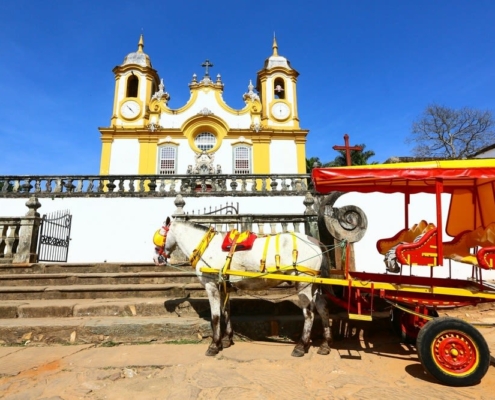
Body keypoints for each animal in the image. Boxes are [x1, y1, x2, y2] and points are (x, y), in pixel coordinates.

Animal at [154, 217, 334, 358]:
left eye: (159, 237)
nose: (156, 259)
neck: (207, 246)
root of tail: (315, 241)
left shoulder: (211, 284)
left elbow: (215, 316)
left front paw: (214, 345)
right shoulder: (223, 286)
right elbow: (226, 312)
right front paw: (226, 340)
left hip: (303, 281)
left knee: (309, 314)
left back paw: (301, 346)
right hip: (314, 283)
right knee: (323, 308)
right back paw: (325, 344)